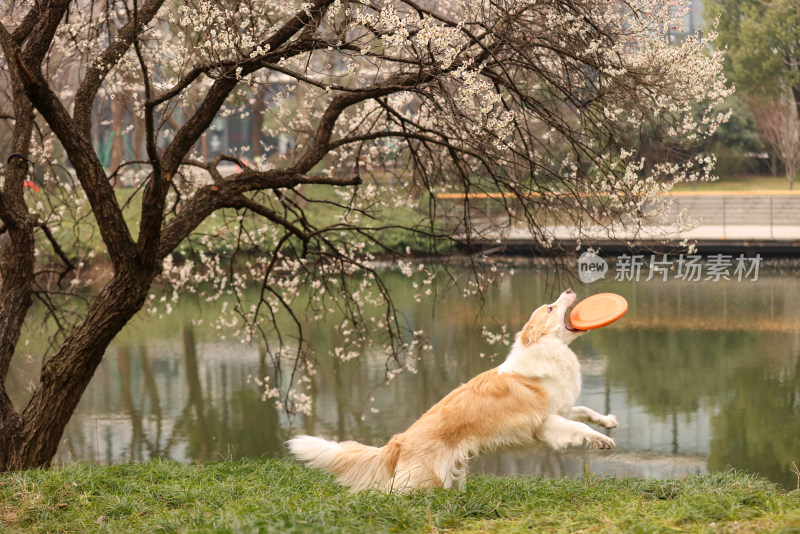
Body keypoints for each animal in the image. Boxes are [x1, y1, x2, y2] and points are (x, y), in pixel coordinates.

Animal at [288, 292, 620, 496]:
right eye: (550, 308)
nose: (569, 290)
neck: (546, 349)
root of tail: (398, 441)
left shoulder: (561, 408)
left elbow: (584, 411)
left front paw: (608, 421)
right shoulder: (545, 423)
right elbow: (577, 426)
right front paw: (600, 440)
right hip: (423, 480)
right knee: (390, 493)